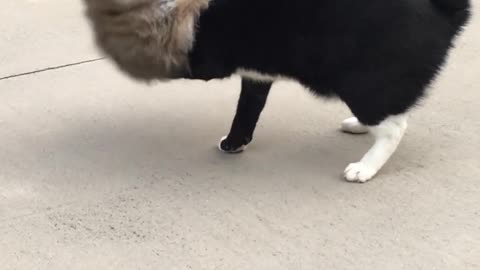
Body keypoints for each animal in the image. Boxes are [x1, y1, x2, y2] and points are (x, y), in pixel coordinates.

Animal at [84, 0, 470, 182]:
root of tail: (446, 13)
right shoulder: (256, 75)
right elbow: (247, 109)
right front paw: (235, 142)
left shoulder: (203, 57)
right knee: (390, 114)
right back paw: (358, 127)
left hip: (363, 83)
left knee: (394, 127)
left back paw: (365, 167)